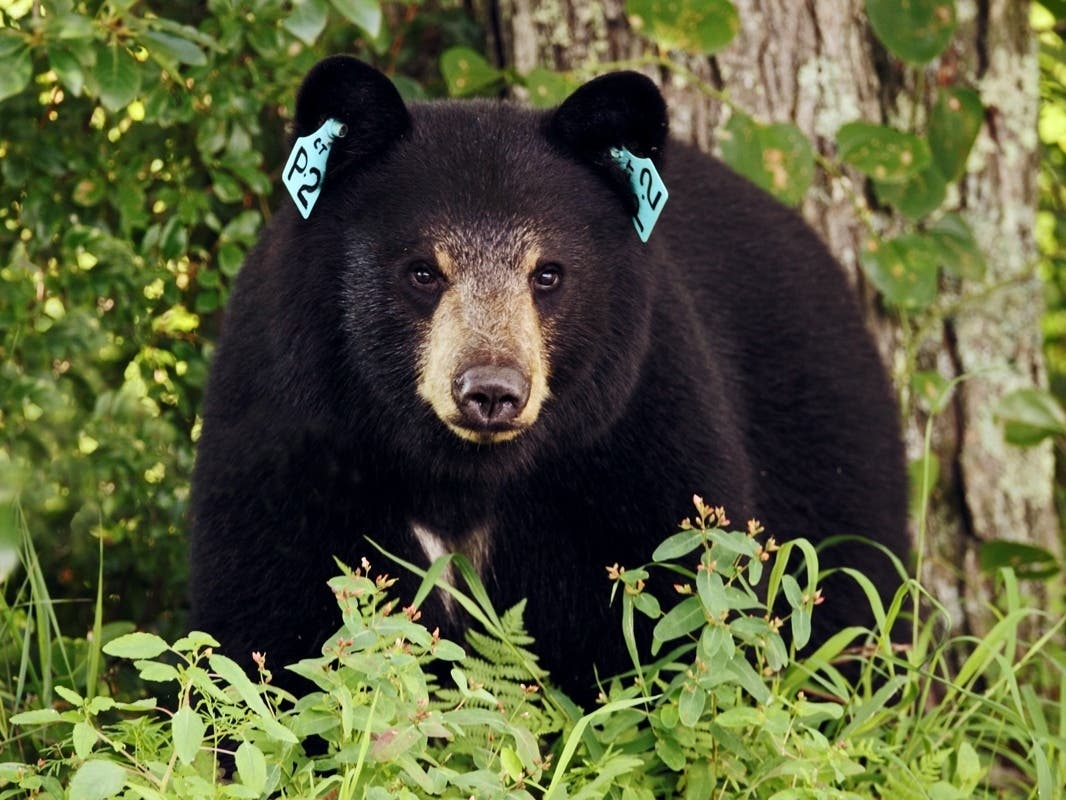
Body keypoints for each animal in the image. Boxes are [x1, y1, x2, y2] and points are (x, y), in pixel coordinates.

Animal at [189, 55, 909, 705]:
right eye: (422, 270)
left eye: (549, 273)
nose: (491, 391)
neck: (459, 477)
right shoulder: (295, 438)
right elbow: (274, 625)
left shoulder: (634, 439)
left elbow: (678, 617)